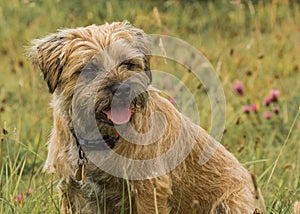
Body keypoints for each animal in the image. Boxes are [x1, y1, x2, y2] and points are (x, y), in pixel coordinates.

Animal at [27, 21, 264, 212]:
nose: (122, 89)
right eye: (91, 68)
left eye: (128, 64)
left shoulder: (149, 188)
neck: (104, 140)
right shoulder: (73, 191)